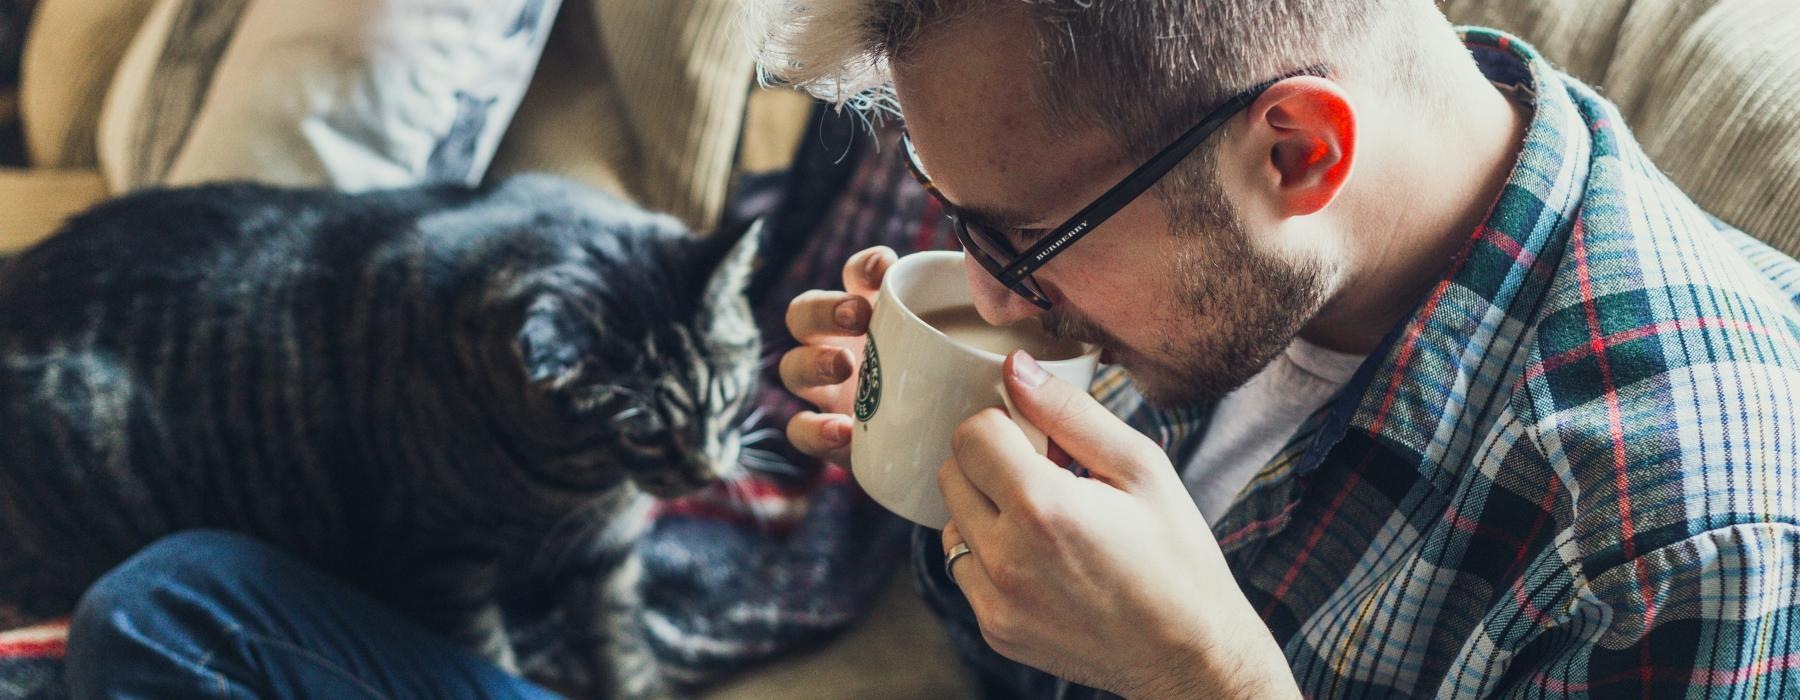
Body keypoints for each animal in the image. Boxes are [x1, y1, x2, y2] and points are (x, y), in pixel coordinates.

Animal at [0, 172, 766, 691]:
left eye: (727, 398)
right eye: (642, 434)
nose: (705, 472)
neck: (582, 490)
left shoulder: (609, 557)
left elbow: (622, 649)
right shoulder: (443, 563)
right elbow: (487, 654)